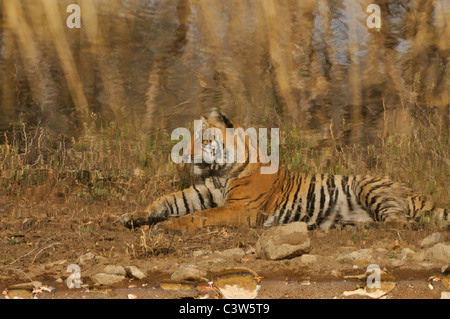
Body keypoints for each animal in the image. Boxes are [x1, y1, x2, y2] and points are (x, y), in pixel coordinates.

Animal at [121, 110, 448, 232]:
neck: (219, 172)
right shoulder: (203, 192)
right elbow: (169, 201)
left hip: (370, 187)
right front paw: (133, 216)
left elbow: (198, 216)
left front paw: (165, 226)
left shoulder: (239, 208)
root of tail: (414, 191)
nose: (185, 155)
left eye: (203, 140)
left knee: (402, 221)